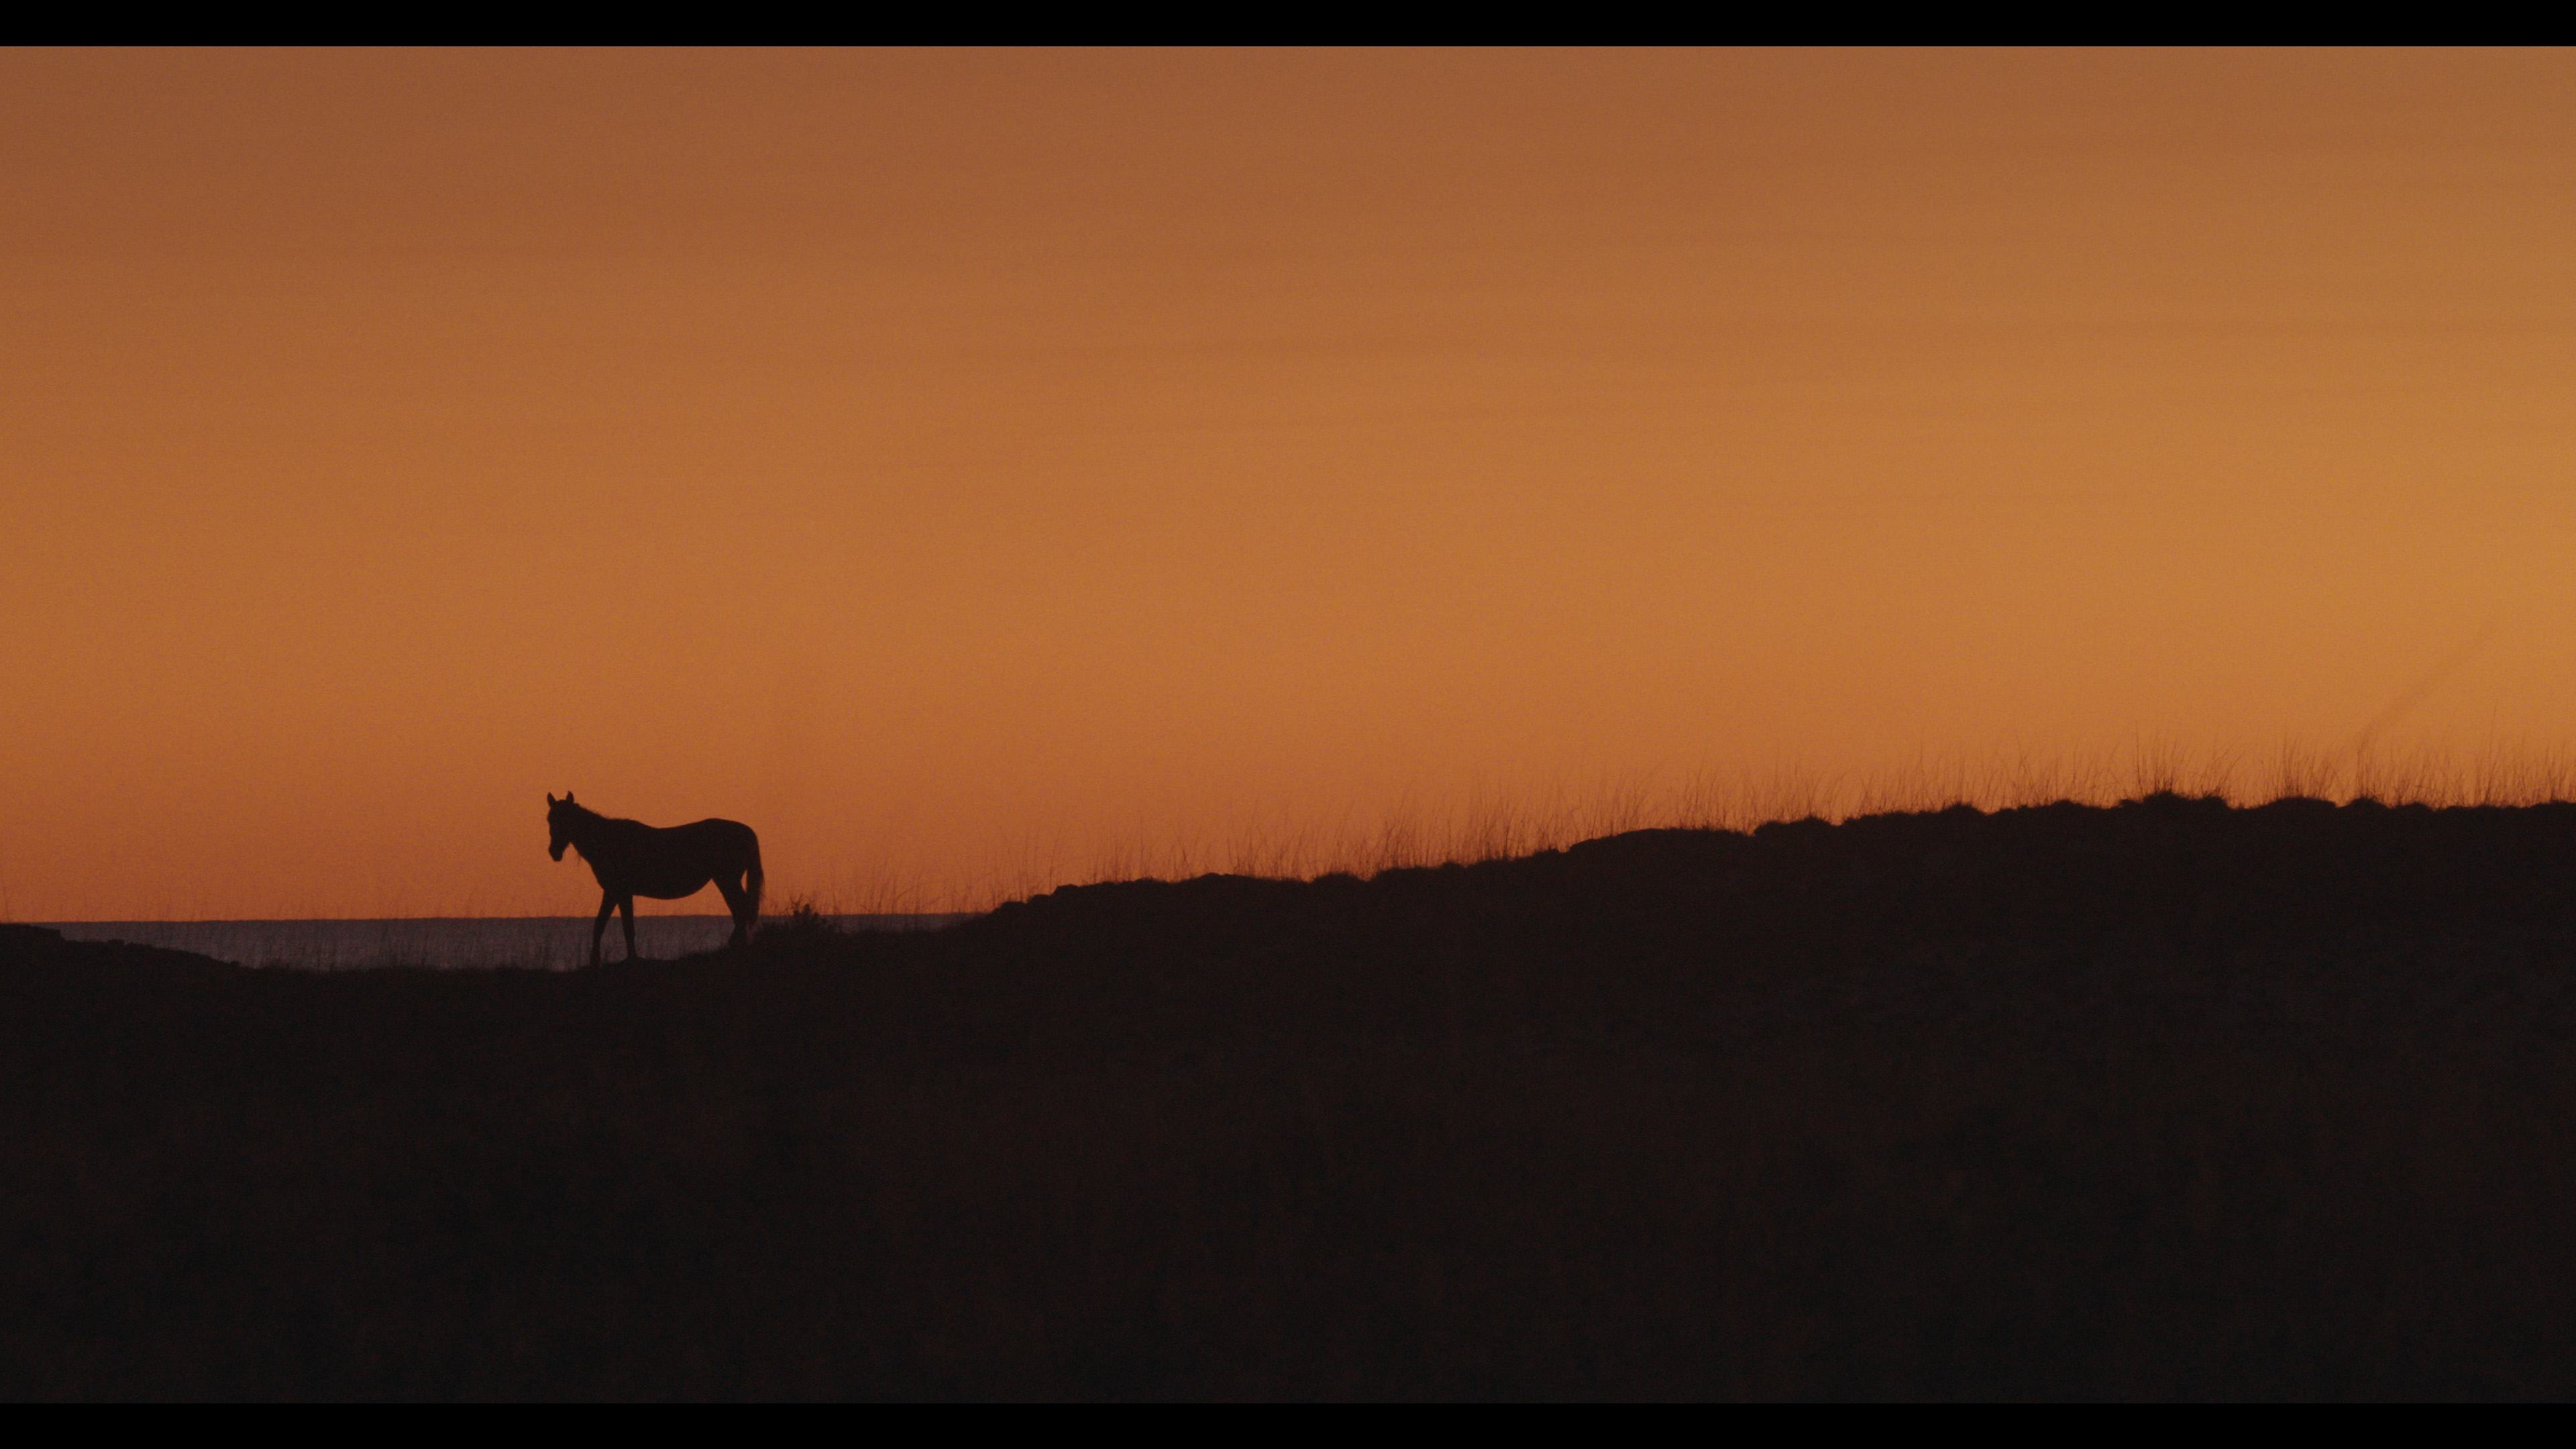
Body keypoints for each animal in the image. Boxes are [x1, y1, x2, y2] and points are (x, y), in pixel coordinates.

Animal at [545, 793, 763, 966]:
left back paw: (735, 946)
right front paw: (596, 960)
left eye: (566, 819)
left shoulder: (621, 892)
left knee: (742, 909)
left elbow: (627, 927)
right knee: (740, 910)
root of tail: (747, 831)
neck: (610, 842)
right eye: (550, 820)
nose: (554, 852)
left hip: (727, 880)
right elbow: (601, 924)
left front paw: (630, 959)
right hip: (726, 880)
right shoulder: (613, 892)